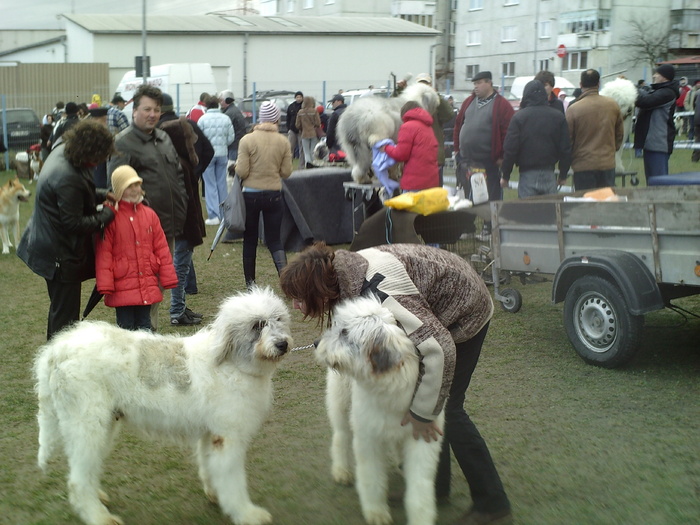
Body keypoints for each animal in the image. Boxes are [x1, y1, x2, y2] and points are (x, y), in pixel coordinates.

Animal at [33, 286, 292, 524]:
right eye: (257, 325)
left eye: (278, 319)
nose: (282, 344)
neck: (231, 364)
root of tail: (56, 349)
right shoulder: (227, 438)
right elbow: (233, 481)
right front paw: (248, 514)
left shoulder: (211, 433)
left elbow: (210, 467)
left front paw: (216, 496)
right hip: (87, 426)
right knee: (77, 481)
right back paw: (99, 517)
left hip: (102, 426)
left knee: (85, 470)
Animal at [318, 294, 442, 524]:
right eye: (338, 326)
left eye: (345, 332)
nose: (316, 344)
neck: (390, 390)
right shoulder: (368, 436)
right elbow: (372, 476)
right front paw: (376, 512)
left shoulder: (422, 438)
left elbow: (420, 486)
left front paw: (421, 517)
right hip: (341, 404)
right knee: (341, 436)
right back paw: (341, 471)